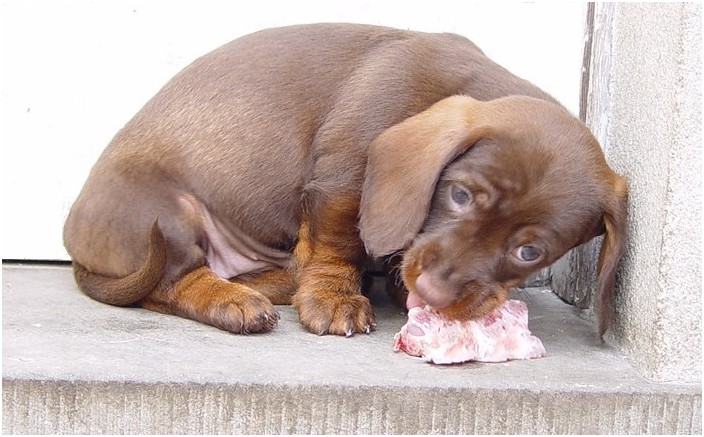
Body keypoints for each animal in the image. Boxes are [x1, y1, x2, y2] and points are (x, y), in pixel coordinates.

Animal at [63, 23, 627, 337]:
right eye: (460, 195)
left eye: (530, 251)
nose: (434, 294)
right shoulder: (344, 175)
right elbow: (339, 241)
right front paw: (334, 299)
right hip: (166, 215)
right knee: (169, 283)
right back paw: (230, 300)